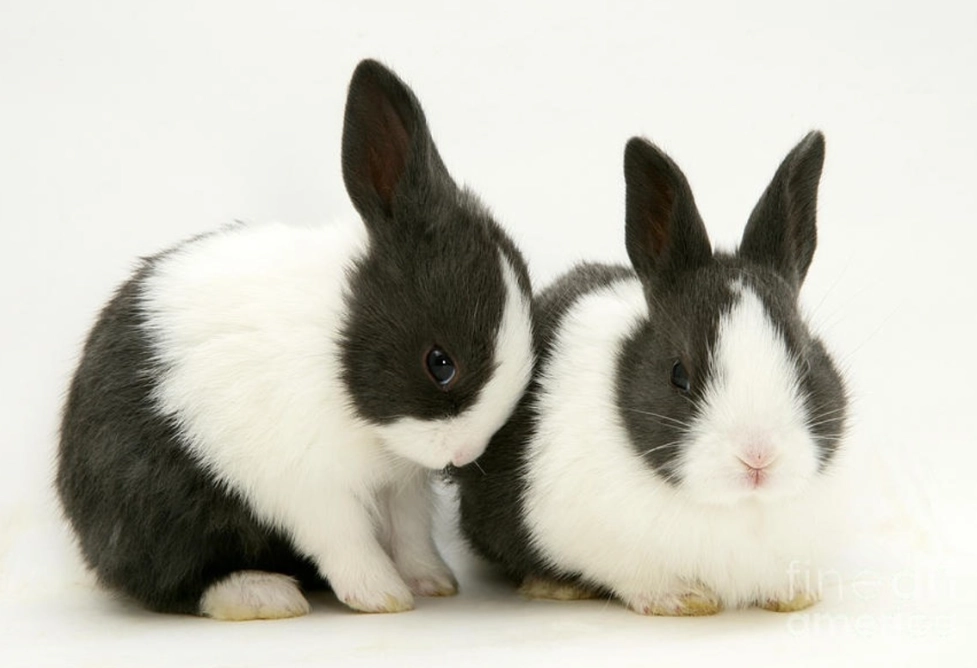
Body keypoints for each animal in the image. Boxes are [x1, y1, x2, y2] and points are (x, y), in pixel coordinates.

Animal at [56, 59, 535, 620]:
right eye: (441, 363)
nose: (462, 454)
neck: (336, 348)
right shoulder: (310, 486)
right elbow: (346, 540)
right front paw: (382, 596)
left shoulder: (402, 486)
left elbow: (411, 535)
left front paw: (432, 582)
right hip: (158, 512)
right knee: (173, 581)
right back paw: (264, 594)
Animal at [454, 131, 849, 616]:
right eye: (679, 375)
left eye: (805, 361)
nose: (758, 458)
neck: (737, 505)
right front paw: (685, 600)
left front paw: (794, 597)